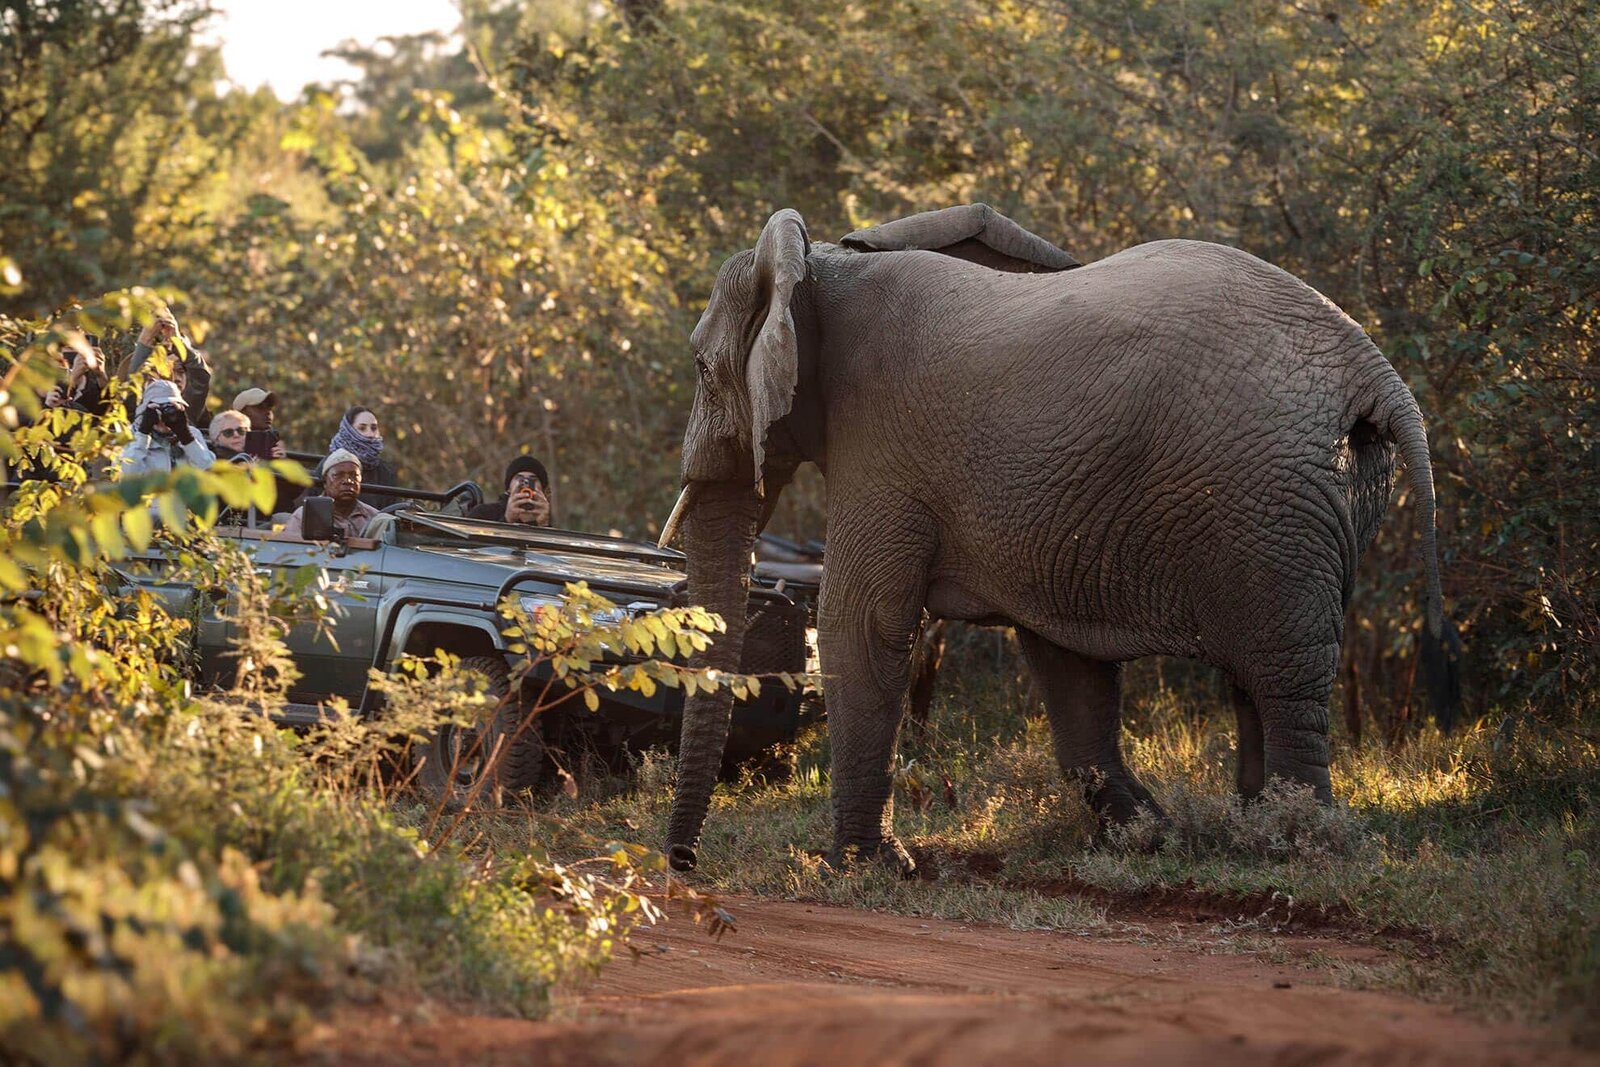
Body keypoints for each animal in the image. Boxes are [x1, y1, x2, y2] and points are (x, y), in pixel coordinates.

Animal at [657, 203, 1448, 876]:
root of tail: (1374, 373)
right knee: (1256, 675)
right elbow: (1066, 660)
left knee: (1281, 674)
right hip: (1312, 501)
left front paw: (861, 868)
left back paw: (1295, 845)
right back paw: (1247, 835)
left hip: (1272, 501)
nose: (684, 862)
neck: (821, 264)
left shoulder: (882, 445)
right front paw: (1148, 838)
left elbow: (862, 625)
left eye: (699, 366)